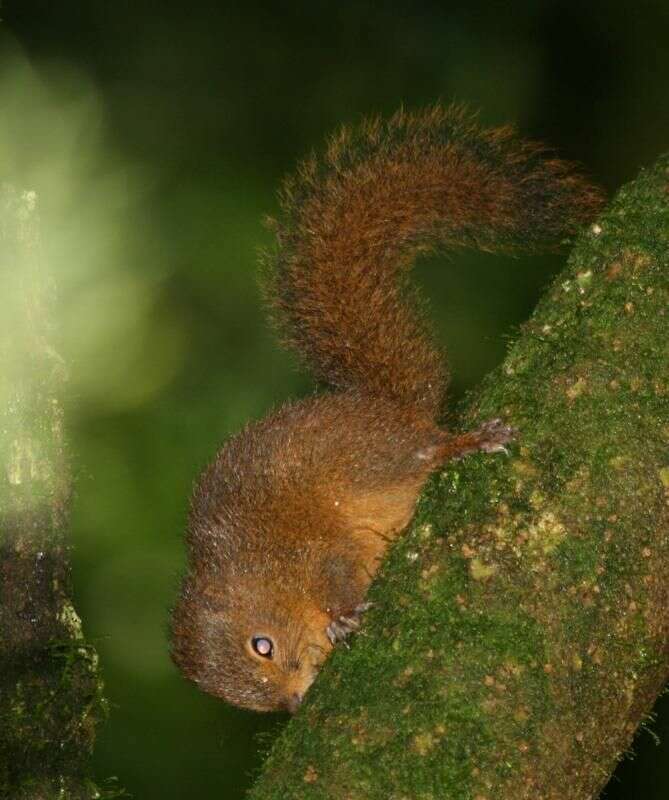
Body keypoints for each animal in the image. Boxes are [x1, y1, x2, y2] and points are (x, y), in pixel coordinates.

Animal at [168, 104, 604, 712]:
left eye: (262, 646)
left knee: (422, 452)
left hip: (371, 459)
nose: (293, 705)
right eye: (241, 701)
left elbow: (339, 575)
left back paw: (464, 444)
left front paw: (344, 614)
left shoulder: (310, 551)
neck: (262, 575)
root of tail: (385, 408)